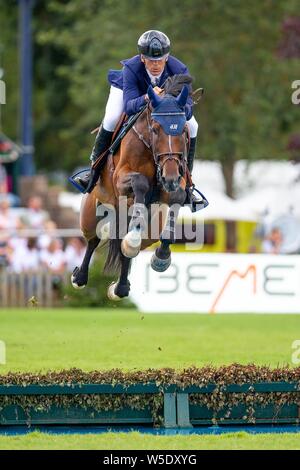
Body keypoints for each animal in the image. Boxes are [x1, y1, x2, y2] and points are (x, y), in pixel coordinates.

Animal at [72, 73, 193, 302]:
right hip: (91, 211)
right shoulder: (121, 178)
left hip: (151, 231)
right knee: (93, 239)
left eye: (183, 130)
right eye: (155, 129)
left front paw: (162, 257)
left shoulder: (174, 182)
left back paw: (120, 288)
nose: (170, 178)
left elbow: (177, 196)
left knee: (126, 250)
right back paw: (79, 277)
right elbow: (140, 183)